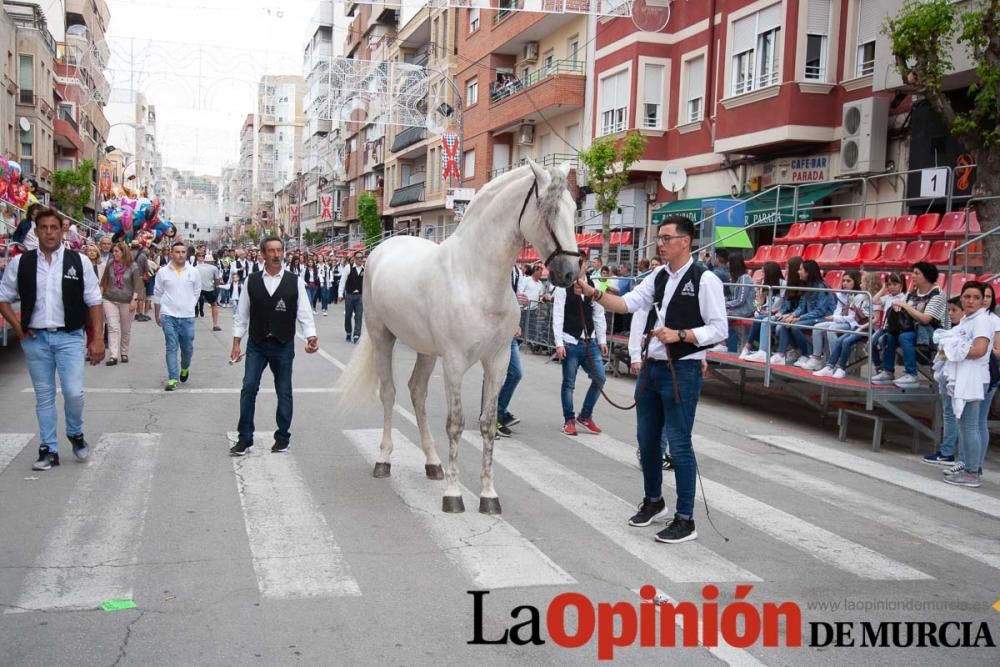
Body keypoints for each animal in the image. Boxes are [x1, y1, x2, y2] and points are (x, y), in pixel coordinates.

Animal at [340, 163, 584, 516]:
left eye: (574, 209)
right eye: (547, 210)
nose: (570, 273)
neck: (477, 278)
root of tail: (383, 248)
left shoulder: (498, 361)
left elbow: (488, 424)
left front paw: (488, 496)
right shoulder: (454, 363)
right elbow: (455, 423)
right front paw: (453, 495)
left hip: (426, 351)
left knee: (417, 392)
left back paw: (432, 463)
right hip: (382, 335)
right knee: (389, 394)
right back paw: (384, 460)